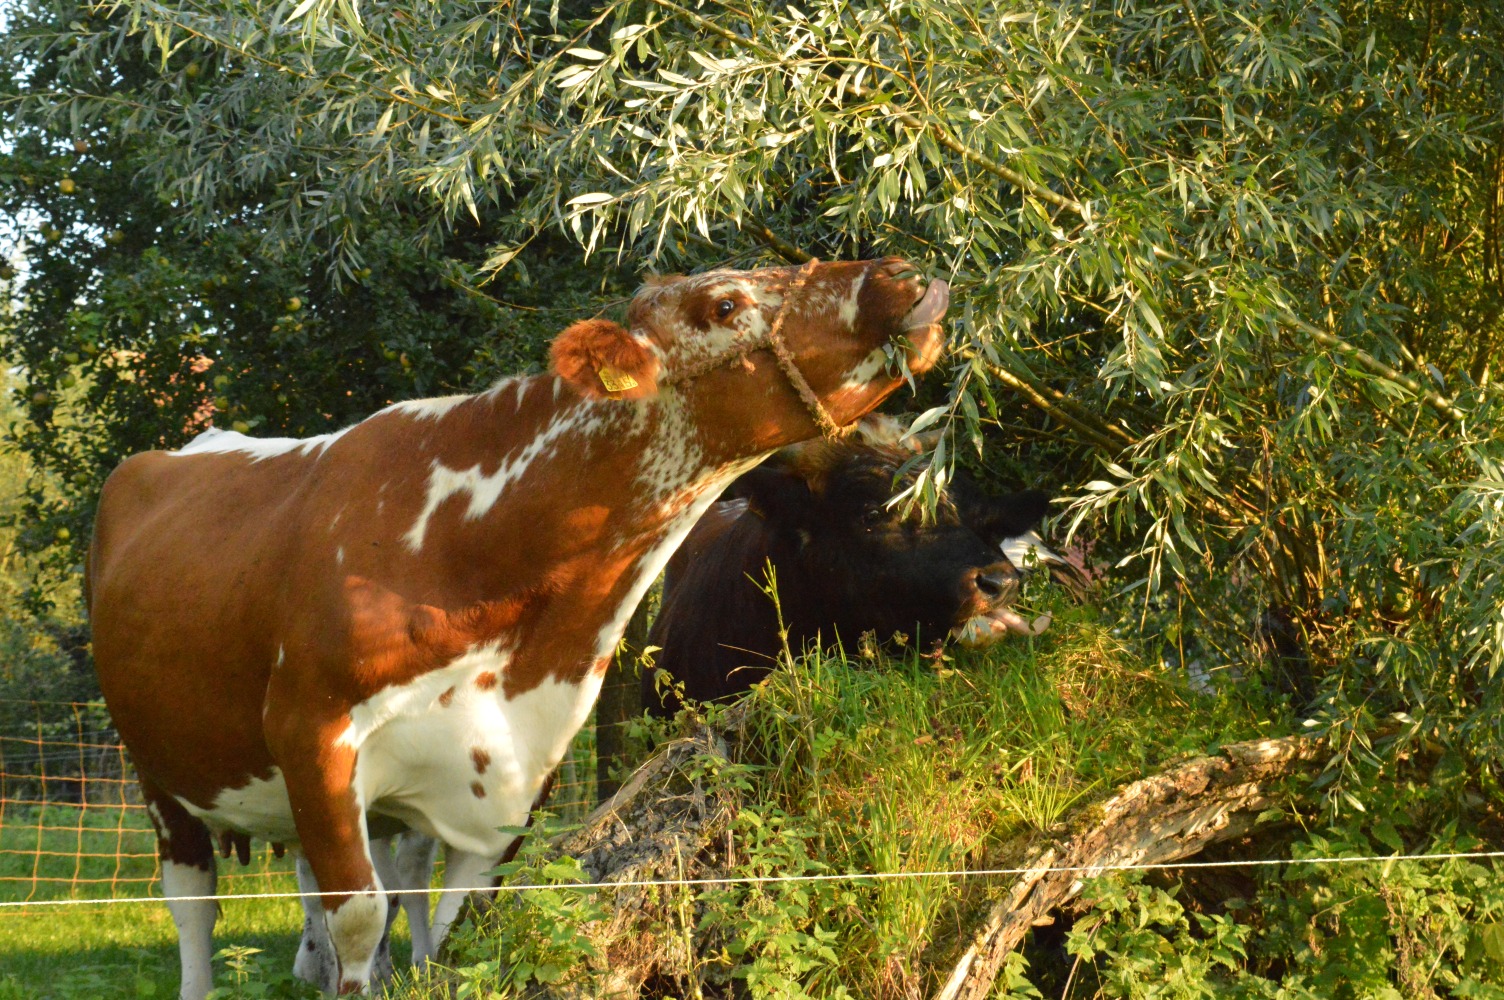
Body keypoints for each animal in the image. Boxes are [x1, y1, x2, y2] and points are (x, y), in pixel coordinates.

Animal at [86, 256, 949, 998]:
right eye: (726, 305)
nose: (898, 273)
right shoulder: (312, 735)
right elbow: (360, 917)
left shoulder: (510, 779)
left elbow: (455, 929)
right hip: (158, 765)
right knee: (194, 904)